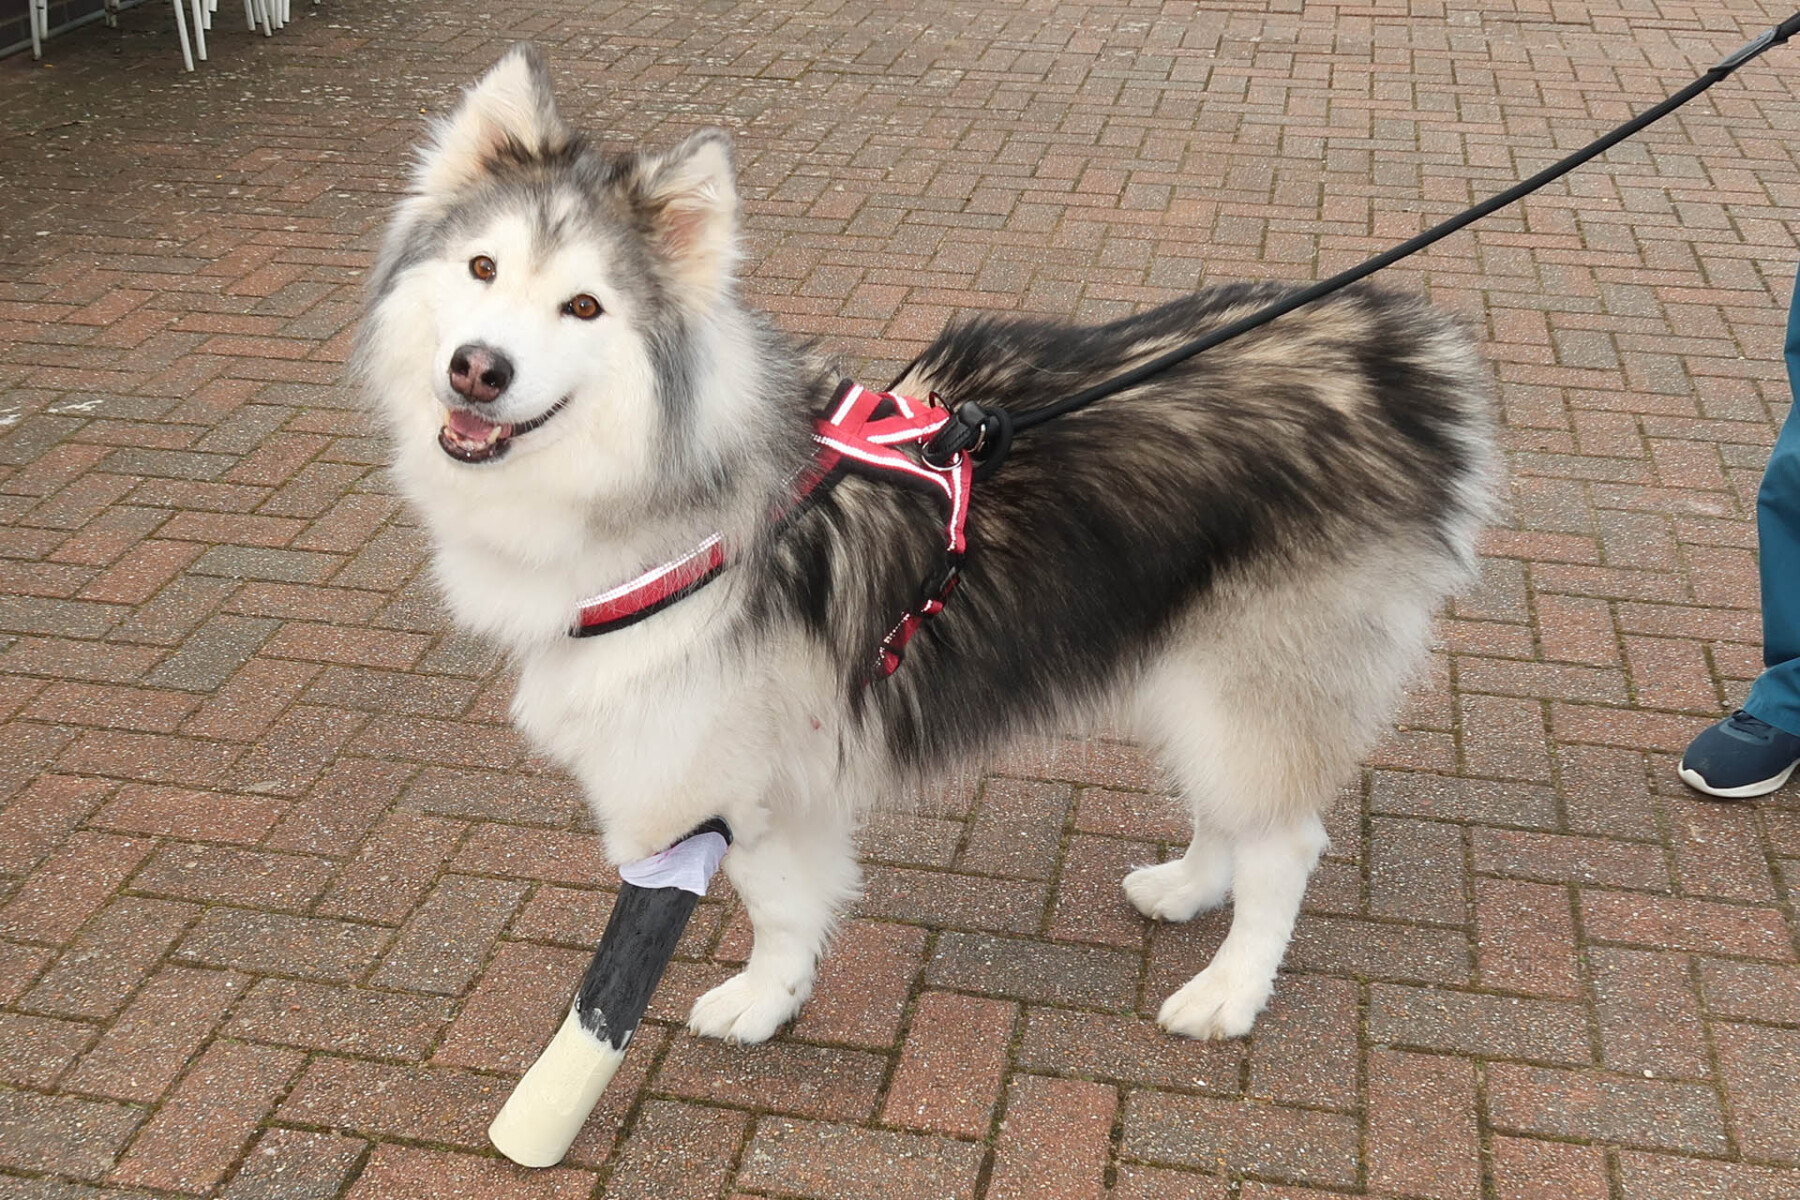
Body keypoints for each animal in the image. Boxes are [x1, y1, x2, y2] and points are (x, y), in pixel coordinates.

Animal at [358, 47, 1497, 1043]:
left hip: (1251, 678)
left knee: (1285, 843)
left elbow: (773, 903)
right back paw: (1185, 886)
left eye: (585, 306)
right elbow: (795, 893)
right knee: (1233, 812)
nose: (478, 370)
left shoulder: (722, 768)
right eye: (482, 267)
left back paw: (1229, 993)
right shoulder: (778, 762)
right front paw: (781, 992)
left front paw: (762, 1002)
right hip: (1190, 664)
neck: (657, 485)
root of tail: (1398, 352)